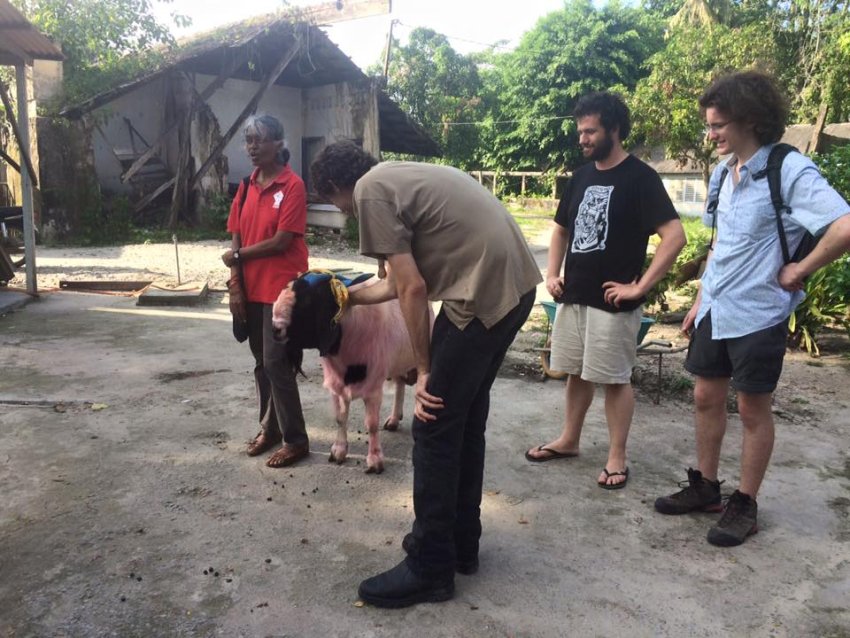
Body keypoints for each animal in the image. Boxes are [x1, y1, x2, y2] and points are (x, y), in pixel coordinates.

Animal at [274, 270, 430, 476]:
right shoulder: (336, 385)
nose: (275, 328)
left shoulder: (373, 387)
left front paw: (375, 461)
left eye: (308, 300)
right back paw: (394, 420)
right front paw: (338, 452)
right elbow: (340, 418)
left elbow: (371, 424)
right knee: (399, 383)